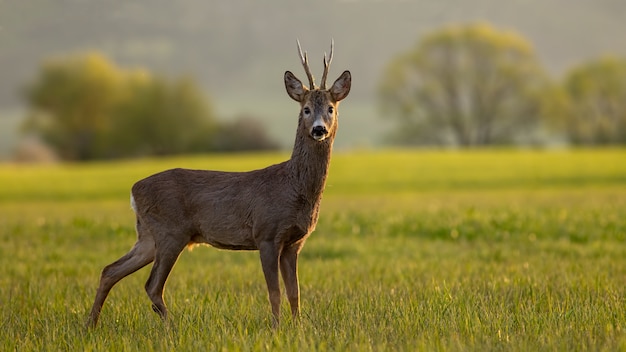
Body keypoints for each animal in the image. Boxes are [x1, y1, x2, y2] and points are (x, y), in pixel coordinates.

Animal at [86, 40, 352, 328]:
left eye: (331, 108)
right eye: (305, 109)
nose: (318, 129)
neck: (293, 188)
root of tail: (134, 190)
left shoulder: (294, 242)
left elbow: (295, 293)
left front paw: (298, 328)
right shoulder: (266, 233)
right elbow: (275, 292)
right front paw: (276, 328)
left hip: (147, 235)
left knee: (110, 270)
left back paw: (91, 324)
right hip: (170, 231)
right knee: (152, 285)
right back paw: (172, 327)